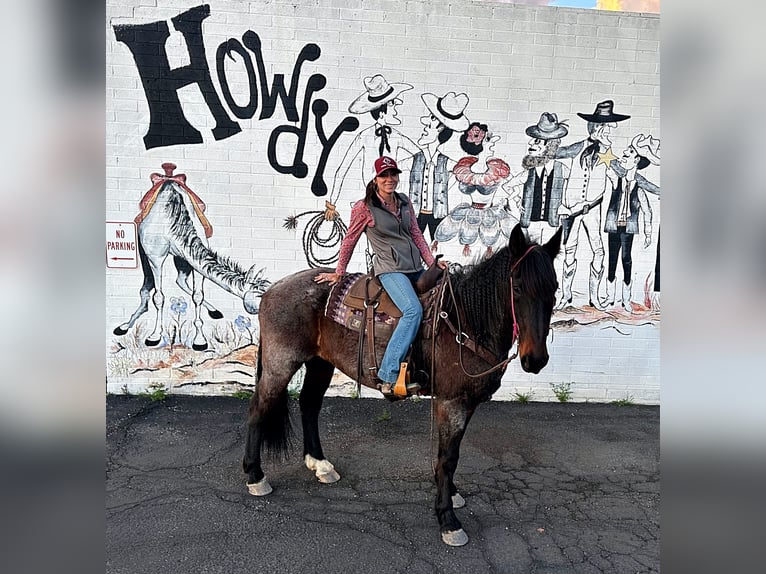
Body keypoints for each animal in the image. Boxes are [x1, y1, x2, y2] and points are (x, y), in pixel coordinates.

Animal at [112, 162, 272, 352]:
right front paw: (154, 336)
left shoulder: (192, 258)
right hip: (146, 256)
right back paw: (124, 326)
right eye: (261, 300)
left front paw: (200, 340)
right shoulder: (155, 258)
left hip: (181, 258)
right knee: (146, 289)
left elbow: (197, 296)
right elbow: (158, 297)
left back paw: (214, 310)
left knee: (179, 281)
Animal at [246, 223, 564, 548]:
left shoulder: (467, 403)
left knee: (309, 404)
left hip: (321, 363)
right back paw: (256, 476)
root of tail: (272, 289)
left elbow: (450, 454)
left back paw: (320, 464)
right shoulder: (451, 402)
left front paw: (451, 494)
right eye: (518, 287)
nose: (535, 359)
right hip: (281, 364)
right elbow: (448, 458)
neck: (463, 321)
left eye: (553, 289)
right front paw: (448, 519)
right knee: (259, 408)